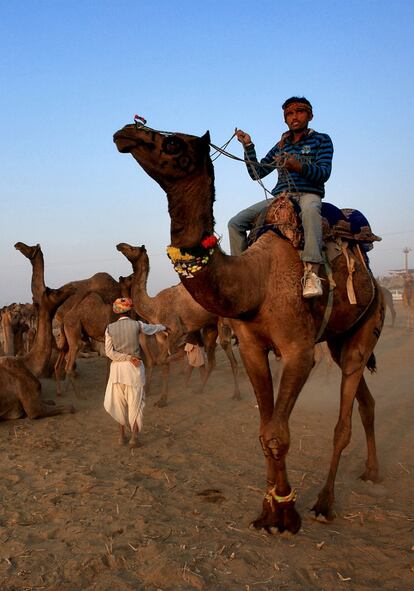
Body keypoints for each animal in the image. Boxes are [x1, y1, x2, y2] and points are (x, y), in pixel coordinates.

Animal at [116, 242, 241, 408]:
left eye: (132, 248)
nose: (119, 245)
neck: (154, 308)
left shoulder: (176, 329)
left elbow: (162, 359)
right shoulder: (161, 336)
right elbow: (163, 364)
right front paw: (162, 400)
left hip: (223, 319)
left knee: (228, 349)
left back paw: (236, 394)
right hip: (210, 327)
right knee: (212, 358)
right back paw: (200, 389)